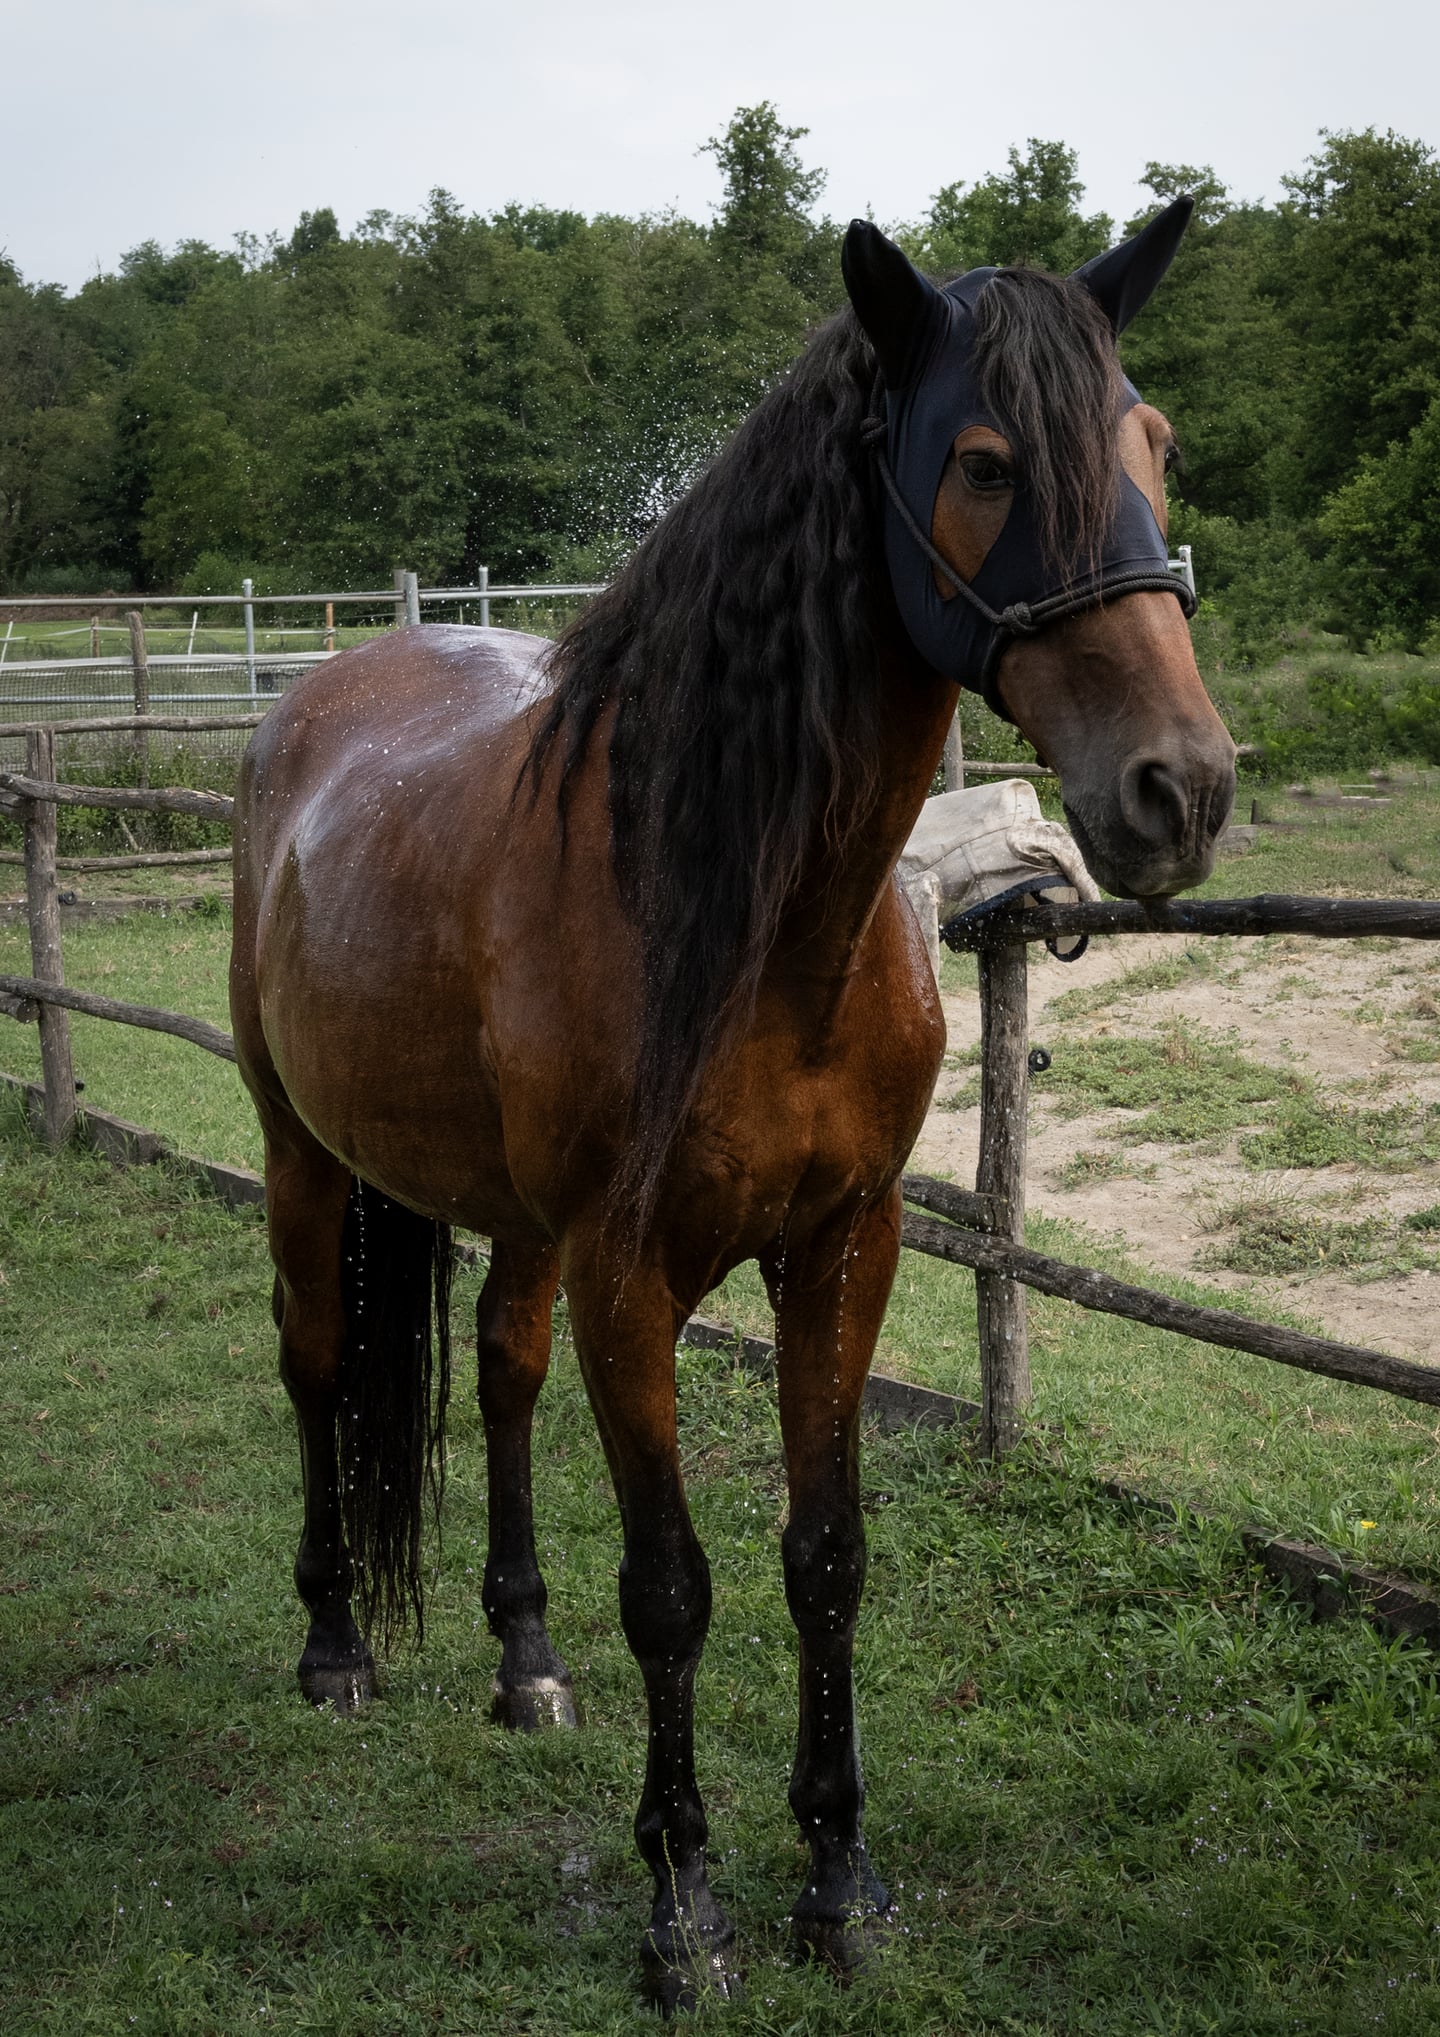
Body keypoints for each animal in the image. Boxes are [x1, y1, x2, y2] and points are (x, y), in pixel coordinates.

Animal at [229, 197, 1235, 2010]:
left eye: (1157, 445)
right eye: (985, 462)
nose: (1178, 791)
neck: (754, 920)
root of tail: (317, 699)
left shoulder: (839, 1251)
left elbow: (824, 1563)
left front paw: (839, 1882)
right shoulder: (639, 1280)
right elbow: (675, 1589)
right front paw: (685, 1907)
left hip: (518, 1227)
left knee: (498, 1373)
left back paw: (523, 1657)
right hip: (302, 1157)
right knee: (319, 1367)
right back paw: (337, 1645)